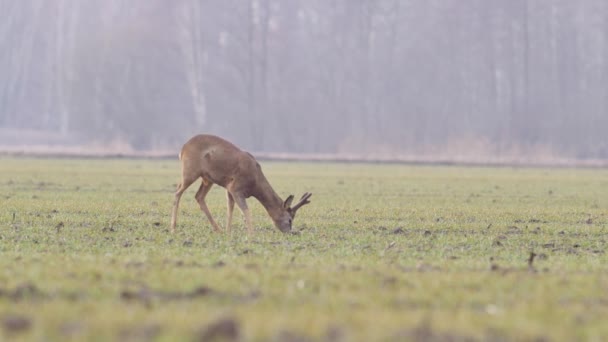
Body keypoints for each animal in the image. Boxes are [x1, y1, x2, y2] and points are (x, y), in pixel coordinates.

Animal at [171, 135, 314, 234]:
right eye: (290, 219)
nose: (290, 232)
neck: (255, 184)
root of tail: (182, 149)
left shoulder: (229, 188)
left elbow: (230, 209)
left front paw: (228, 232)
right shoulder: (236, 188)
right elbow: (246, 210)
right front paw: (252, 235)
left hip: (207, 179)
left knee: (199, 196)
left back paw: (218, 230)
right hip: (190, 170)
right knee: (178, 191)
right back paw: (173, 227)